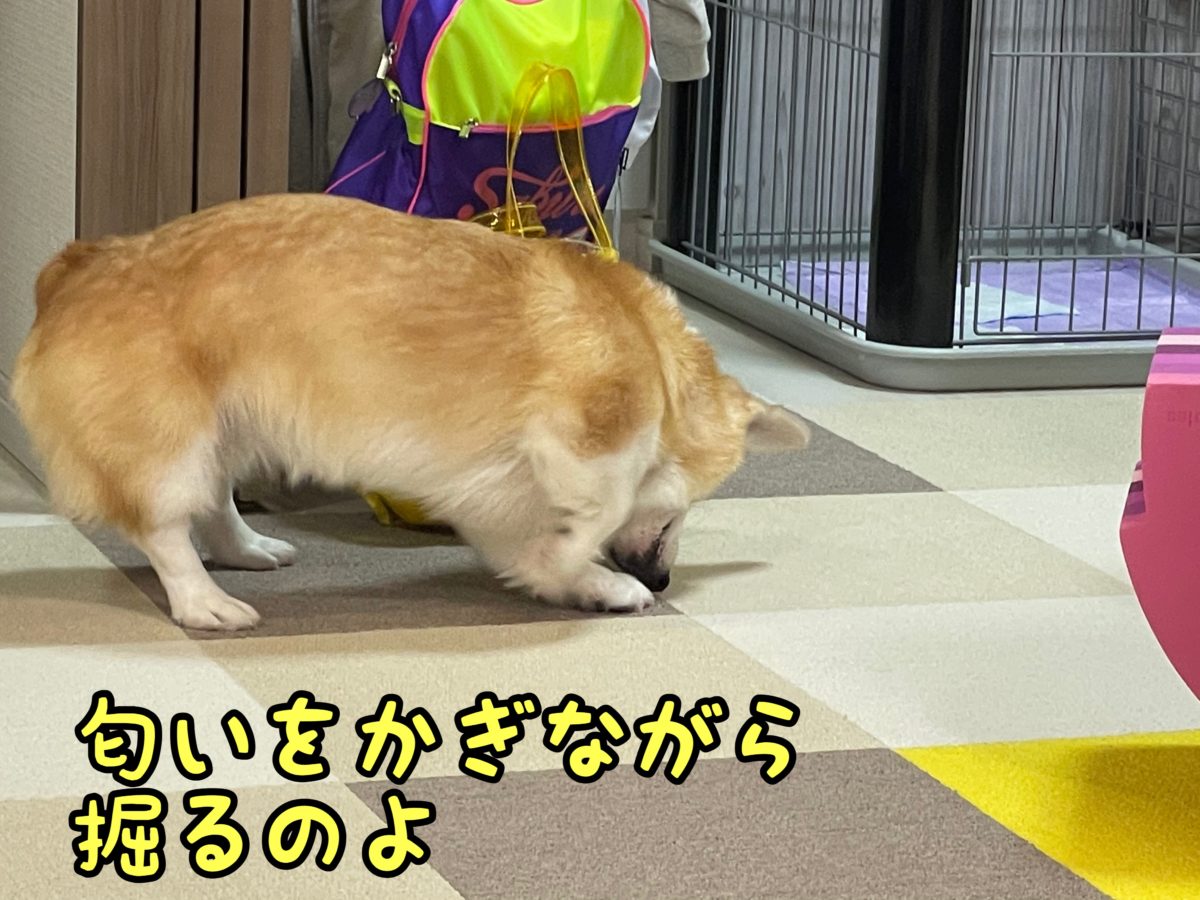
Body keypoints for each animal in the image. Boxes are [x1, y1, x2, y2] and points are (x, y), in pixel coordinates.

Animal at [12, 193, 810, 630]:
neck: (657, 361)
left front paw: (583, 582)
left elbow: (537, 546)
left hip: (229, 428)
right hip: (172, 444)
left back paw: (248, 550)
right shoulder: (592, 434)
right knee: (165, 527)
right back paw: (205, 603)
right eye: (684, 510)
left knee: (215, 502)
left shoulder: (504, 495)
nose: (665, 583)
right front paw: (578, 563)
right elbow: (595, 511)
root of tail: (78, 266)